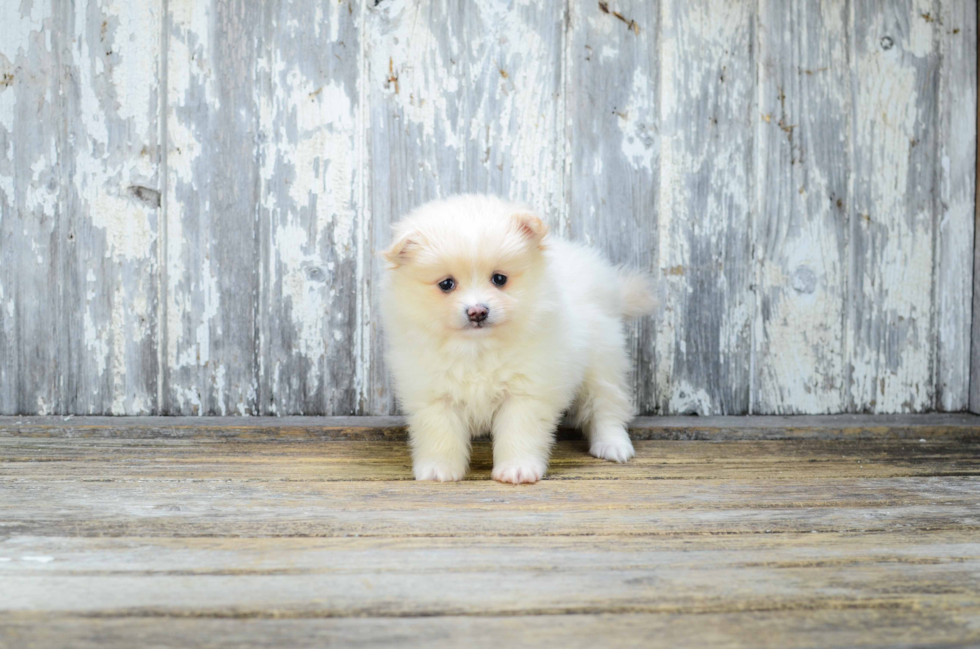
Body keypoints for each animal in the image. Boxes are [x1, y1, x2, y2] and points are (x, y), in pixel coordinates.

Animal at [378, 195, 656, 484]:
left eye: (499, 279)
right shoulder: (433, 393)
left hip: (602, 362)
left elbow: (519, 432)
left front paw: (517, 469)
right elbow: (439, 433)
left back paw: (613, 445)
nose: (477, 312)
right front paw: (438, 470)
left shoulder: (526, 391)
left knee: (606, 407)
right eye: (446, 284)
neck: (478, 349)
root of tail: (611, 288)